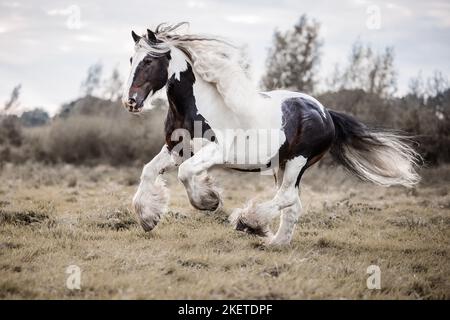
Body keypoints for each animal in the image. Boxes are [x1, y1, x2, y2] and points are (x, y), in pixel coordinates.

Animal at [121, 23, 420, 246]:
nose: (131, 102)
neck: (196, 105)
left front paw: (209, 200)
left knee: (287, 198)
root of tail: (325, 112)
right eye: (131, 59)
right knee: (293, 204)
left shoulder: (216, 150)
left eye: (149, 60)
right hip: (283, 164)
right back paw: (275, 242)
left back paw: (249, 223)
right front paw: (148, 218)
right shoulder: (175, 148)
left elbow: (185, 173)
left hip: (298, 162)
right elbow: (149, 171)